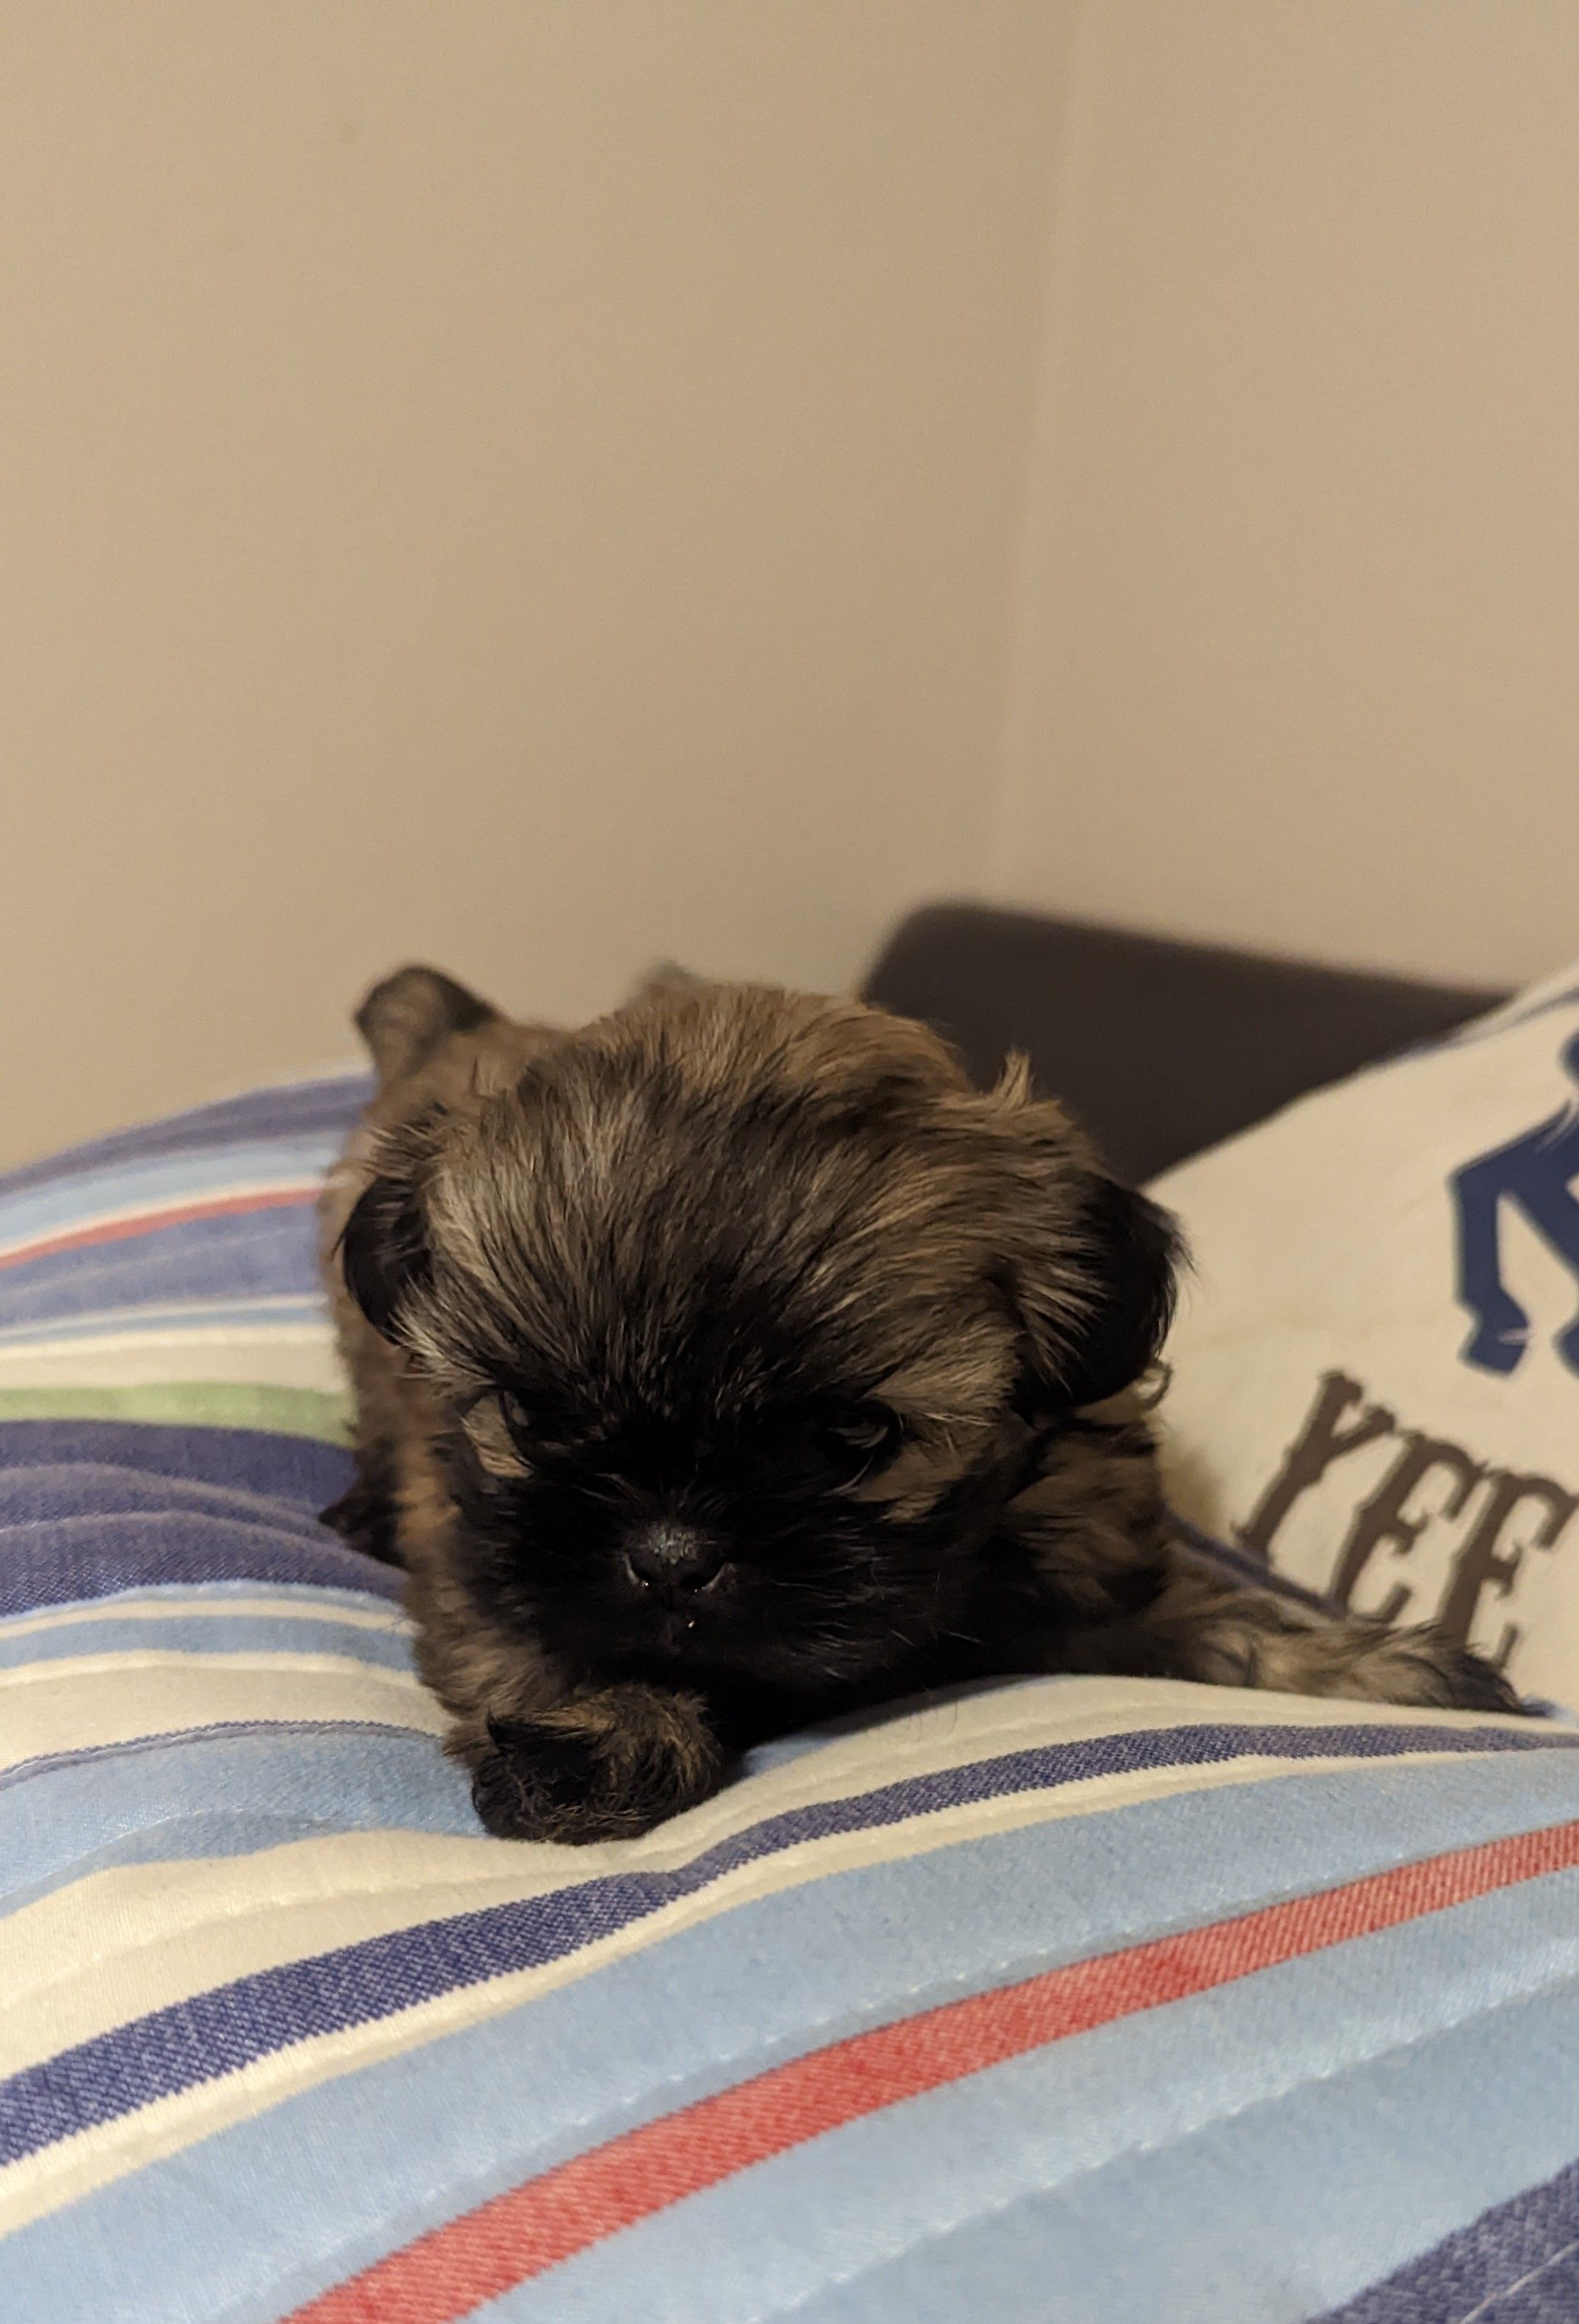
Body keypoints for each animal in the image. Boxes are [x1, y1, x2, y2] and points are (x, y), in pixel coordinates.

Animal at [320, 964, 1521, 1842]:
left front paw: (1373, 1664)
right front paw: (602, 1732)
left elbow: (1213, 1619)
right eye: (530, 1420)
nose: (666, 1557)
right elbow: (531, 1625)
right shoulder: (486, 1550)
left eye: (853, 1437)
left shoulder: (1083, 1560)